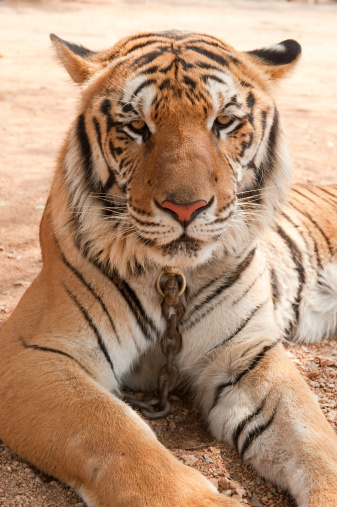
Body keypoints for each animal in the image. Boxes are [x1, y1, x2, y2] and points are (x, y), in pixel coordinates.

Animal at [0, 30, 336, 507]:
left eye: (224, 122)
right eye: (137, 127)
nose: (186, 208)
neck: (173, 276)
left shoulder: (246, 351)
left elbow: (311, 434)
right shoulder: (33, 352)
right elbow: (115, 434)